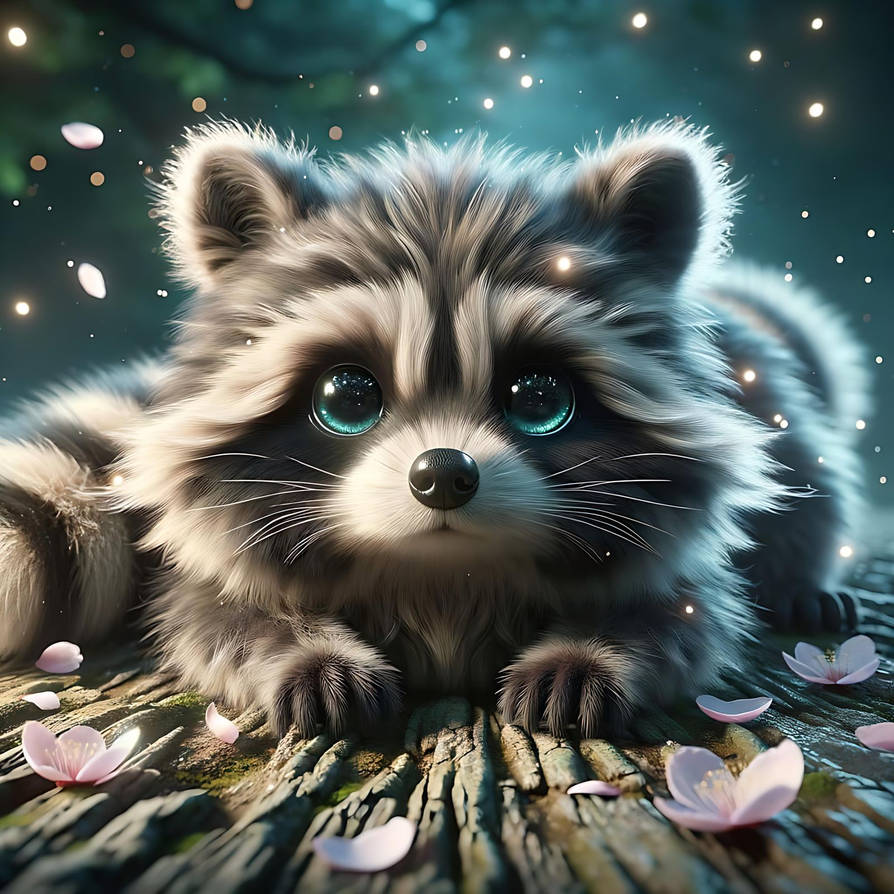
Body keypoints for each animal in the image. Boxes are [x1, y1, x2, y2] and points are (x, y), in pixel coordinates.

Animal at [0, 121, 868, 738]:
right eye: (347, 396)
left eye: (538, 396)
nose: (443, 473)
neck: (441, 573)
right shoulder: (209, 555)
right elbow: (215, 620)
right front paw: (303, 647)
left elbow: (685, 617)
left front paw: (593, 648)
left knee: (810, 494)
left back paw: (802, 583)